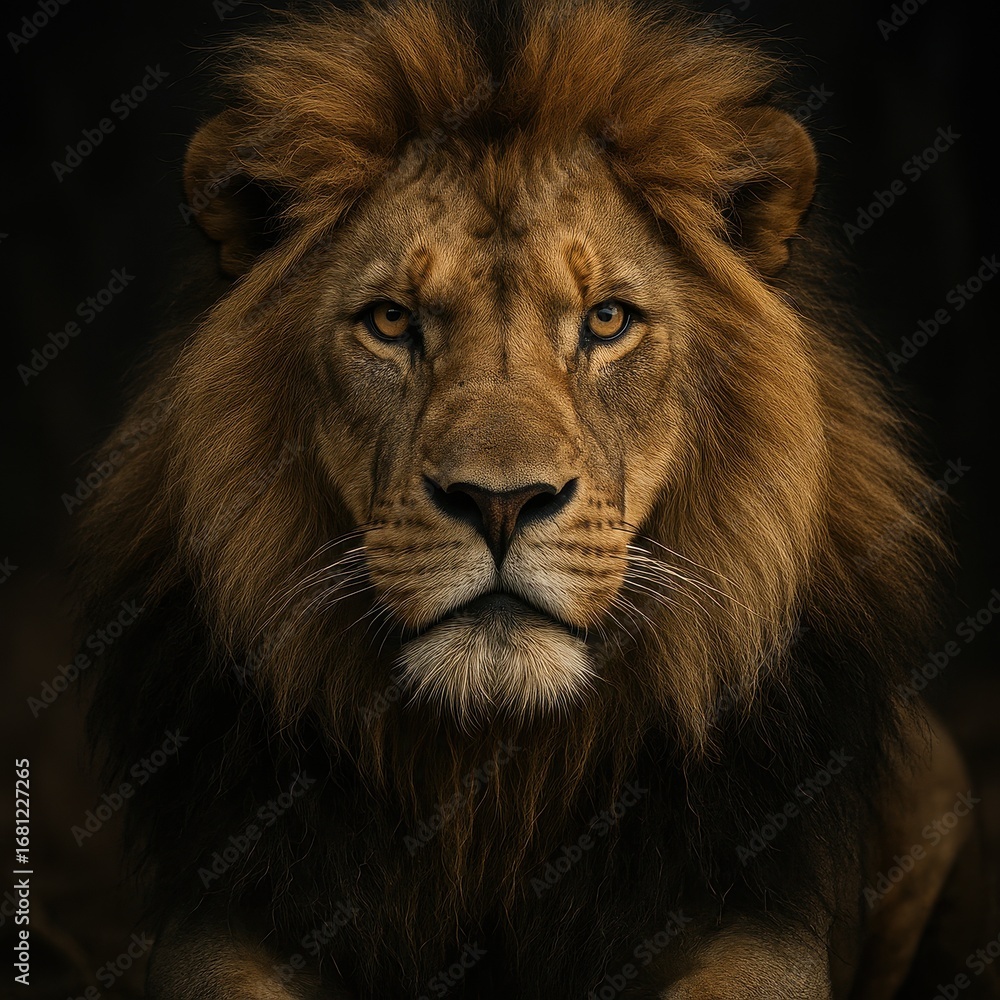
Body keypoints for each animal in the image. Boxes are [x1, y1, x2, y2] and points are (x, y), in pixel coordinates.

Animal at [76, 1, 979, 997]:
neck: (497, 786)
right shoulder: (222, 914)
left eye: (607, 320)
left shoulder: (760, 918)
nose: (500, 503)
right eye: (391, 320)